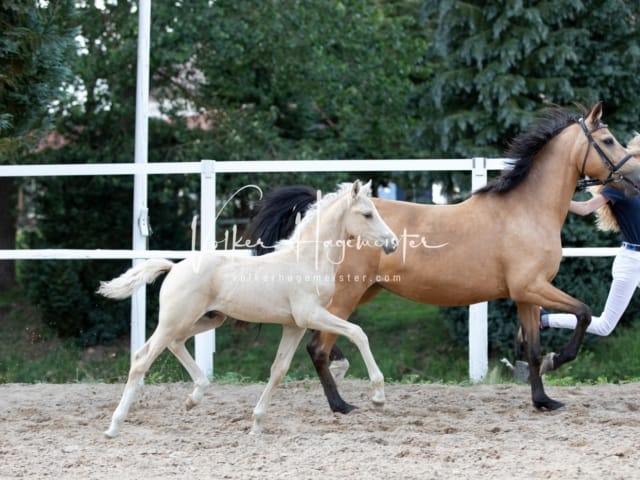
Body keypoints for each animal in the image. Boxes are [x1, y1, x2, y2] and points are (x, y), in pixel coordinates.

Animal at [97, 179, 398, 436]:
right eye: (367, 214)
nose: (393, 243)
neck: (306, 261)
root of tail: (173, 267)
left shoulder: (294, 325)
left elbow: (278, 370)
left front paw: (256, 424)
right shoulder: (310, 315)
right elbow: (358, 333)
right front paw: (378, 397)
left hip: (207, 320)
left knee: (175, 344)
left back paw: (194, 398)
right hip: (175, 320)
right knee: (142, 359)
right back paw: (114, 426)